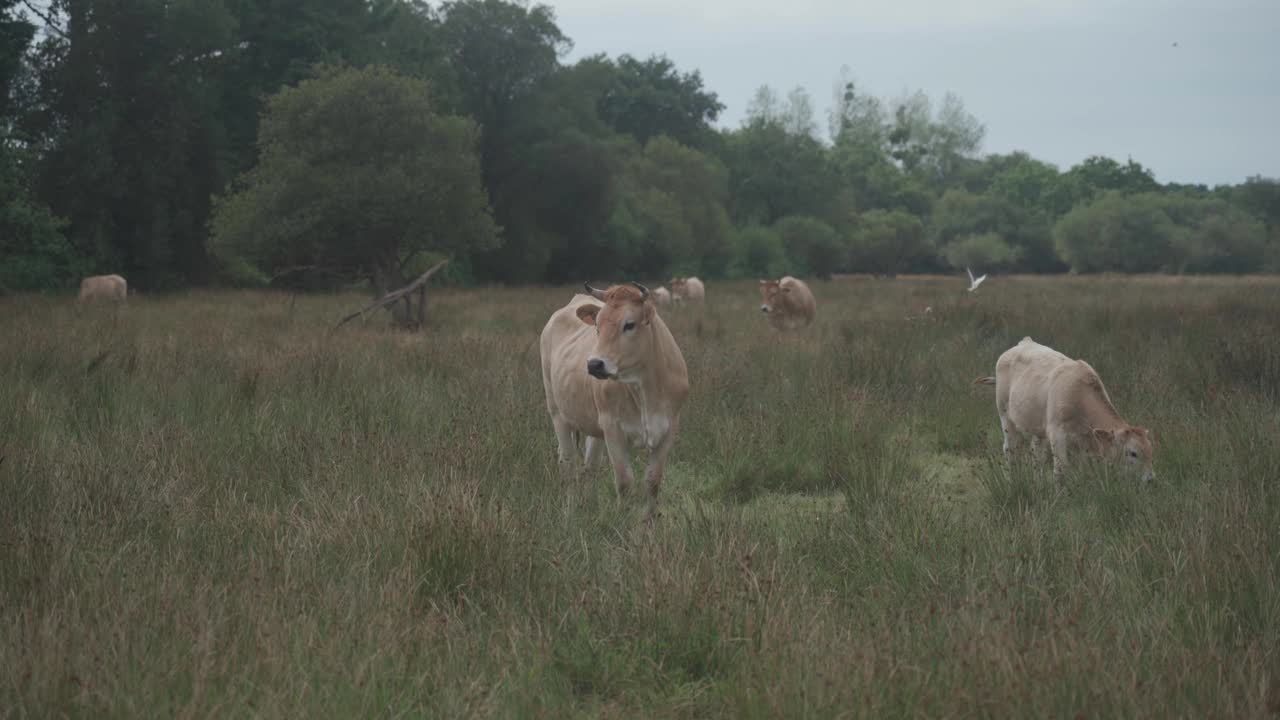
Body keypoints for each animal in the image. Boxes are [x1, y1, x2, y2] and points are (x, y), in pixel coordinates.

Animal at [537, 278, 691, 517]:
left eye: (629, 324)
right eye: (597, 326)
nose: (594, 364)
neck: (645, 387)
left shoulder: (669, 428)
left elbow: (653, 482)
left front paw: (650, 521)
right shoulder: (613, 428)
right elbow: (624, 483)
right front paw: (621, 520)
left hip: (594, 427)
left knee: (590, 467)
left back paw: (590, 507)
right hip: (557, 413)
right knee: (568, 464)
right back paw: (570, 512)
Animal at [972, 335, 1157, 481]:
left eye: (1150, 451)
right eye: (1133, 453)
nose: (1150, 479)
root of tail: (1025, 342)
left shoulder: (1086, 443)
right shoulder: (1057, 435)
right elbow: (1060, 473)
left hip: (1038, 427)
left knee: (1036, 455)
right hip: (1005, 417)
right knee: (1010, 450)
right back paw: (1011, 481)